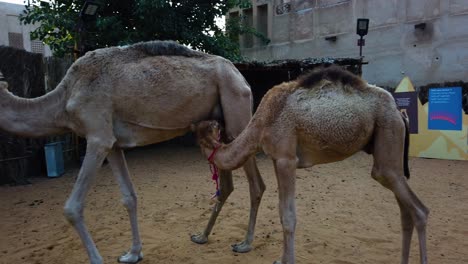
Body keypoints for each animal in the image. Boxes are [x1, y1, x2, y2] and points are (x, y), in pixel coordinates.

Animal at [0, 39, 266, 264]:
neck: (64, 99)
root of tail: (241, 76)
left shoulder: (97, 137)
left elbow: (72, 208)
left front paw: (97, 259)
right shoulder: (112, 144)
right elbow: (129, 197)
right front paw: (132, 254)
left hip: (237, 113)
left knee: (256, 184)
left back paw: (245, 244)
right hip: (222, 124)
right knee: (227, 185)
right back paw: (201, 236)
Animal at [192, 66, 430, 264]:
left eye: (210, 127)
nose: (213, 119)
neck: (261, 124)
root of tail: (400, 114)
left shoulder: (286, 159)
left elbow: (288, 216)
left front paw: (285, 260)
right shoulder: (277, 158)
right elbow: (282, 211)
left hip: (388, 133)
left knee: (419, 210)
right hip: (388, 150)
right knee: (405, 212)